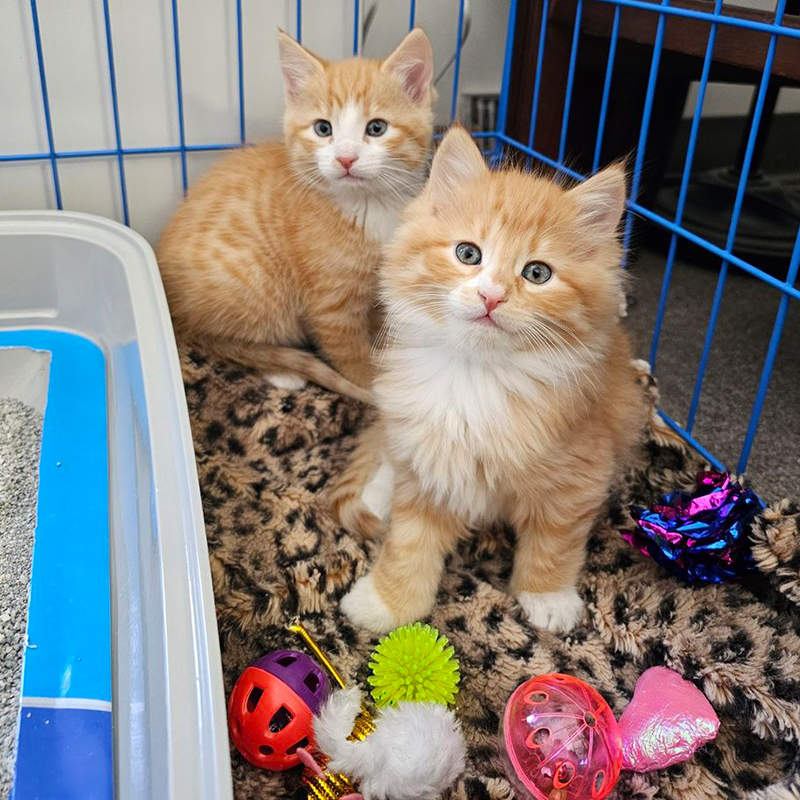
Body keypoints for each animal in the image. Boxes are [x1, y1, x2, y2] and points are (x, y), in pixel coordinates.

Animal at [154, 28, 434, 404]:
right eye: (323, 129)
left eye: (376, 128)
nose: (345, 158)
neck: (369, 204)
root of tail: (175, 317)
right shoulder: (330, 306)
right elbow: (350, 354)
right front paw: (372, 386)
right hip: (255, 285)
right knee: (235, 343)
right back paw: (282, 372)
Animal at [332, 128, 648, 636]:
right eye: (468, 254)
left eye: (537, 273)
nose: (491, 295)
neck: (476, 378)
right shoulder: (428, 462)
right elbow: (408, 541)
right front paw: (386, 602)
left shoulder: (581, 470)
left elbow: (555, 540)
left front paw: (547, 596)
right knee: (389, 452)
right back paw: (378, 493)